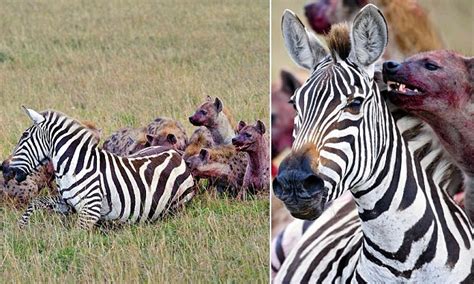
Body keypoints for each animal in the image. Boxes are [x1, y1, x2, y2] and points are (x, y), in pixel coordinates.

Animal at [6, 107, 194, 230]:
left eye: (24, 136)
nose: (8, 171)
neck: (75, 167)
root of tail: (175, 153)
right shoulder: (67, 203)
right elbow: (36, 201)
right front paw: (20, 227)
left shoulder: (90, 210)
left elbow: (73, 236)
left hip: (177, 204)